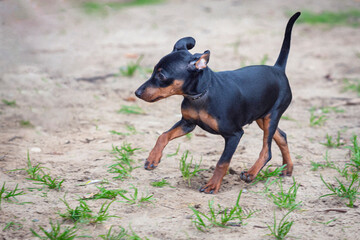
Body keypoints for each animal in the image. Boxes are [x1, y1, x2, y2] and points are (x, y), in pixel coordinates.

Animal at [135, 12, 300, 194]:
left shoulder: (235, 134)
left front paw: (212, 185)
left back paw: (251, 173)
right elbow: (163, 136)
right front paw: (153, 158)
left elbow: (222, 162)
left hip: (272, 116)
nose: (137, 93)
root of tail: (278, 69)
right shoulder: (188, 123)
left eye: (161, 75)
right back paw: (288, 169)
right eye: (153, 71)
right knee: (282, 136)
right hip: (262, 117)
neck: (200, 95)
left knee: (267, 150)